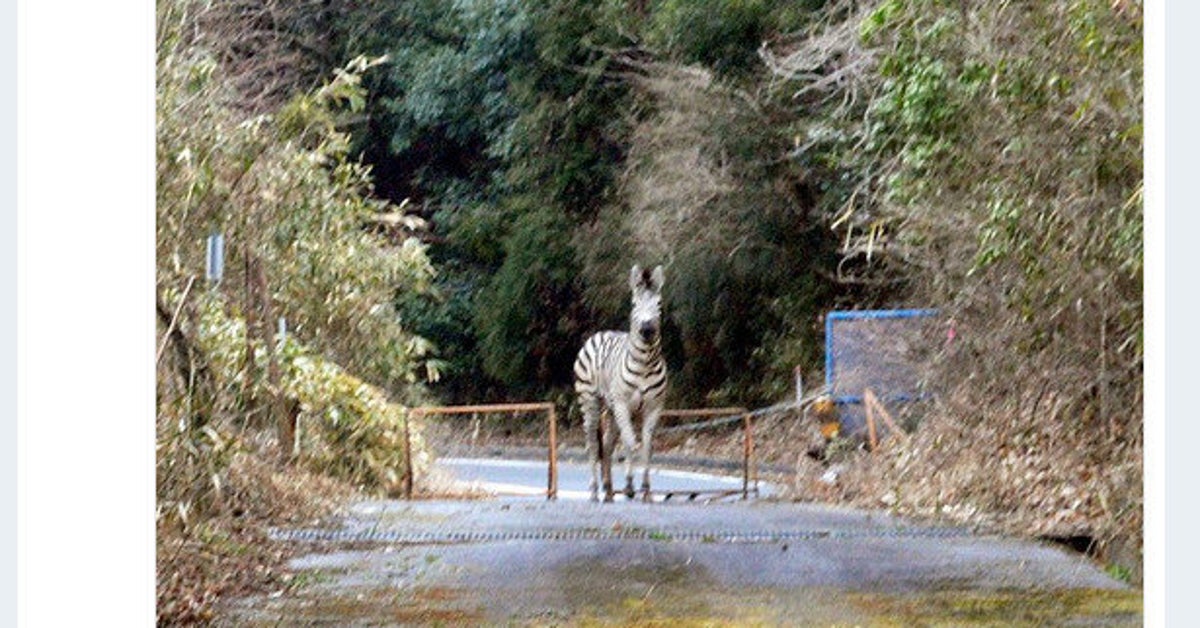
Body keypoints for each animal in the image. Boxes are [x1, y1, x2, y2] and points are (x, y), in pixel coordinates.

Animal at [571, 264, 667, 501]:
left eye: (659, 304)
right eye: (634, 304)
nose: (647, 330)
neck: (645, 364)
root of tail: (600, 332)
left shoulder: (654, 407)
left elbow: (647, 447)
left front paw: (646, 490)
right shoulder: (624, 404)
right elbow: (631, 443)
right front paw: (630, 485)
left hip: (612, 409)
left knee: (607, 444)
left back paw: (608, 489)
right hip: (591, 401)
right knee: (593, 444)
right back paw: (595, 490)